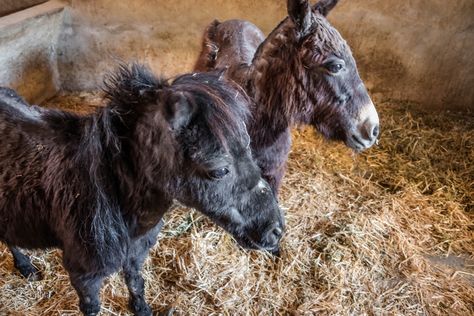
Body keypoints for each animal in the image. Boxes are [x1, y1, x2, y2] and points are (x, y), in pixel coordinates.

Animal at [0, 64, 282, 316]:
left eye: (248, 145)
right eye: (219, 170)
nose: (276, 231)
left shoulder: (136, 253)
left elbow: (136, 283)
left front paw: (142, 309)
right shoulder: (84, 275)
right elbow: (92, 306)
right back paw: (26, 267)